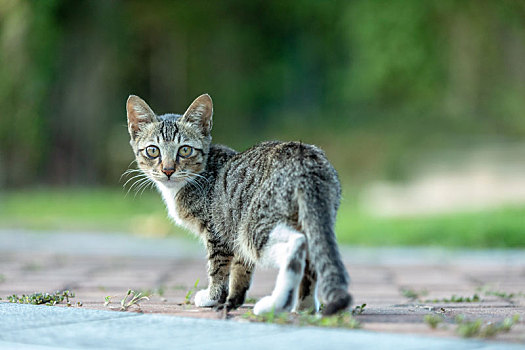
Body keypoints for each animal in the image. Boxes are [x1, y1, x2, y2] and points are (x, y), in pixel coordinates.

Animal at [125, 93, 350, 314]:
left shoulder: (217, 231)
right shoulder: (234, 231)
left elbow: (218, 268)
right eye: (153, 151)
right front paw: (233, 299)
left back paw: (276, 304)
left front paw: (212, 296)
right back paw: (305, 307)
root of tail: (305, 159)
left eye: (185, 150)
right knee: (312, 255)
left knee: (296, 244)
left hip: (254, 224)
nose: (168, 170)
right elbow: (242, 268)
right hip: (309, 216)